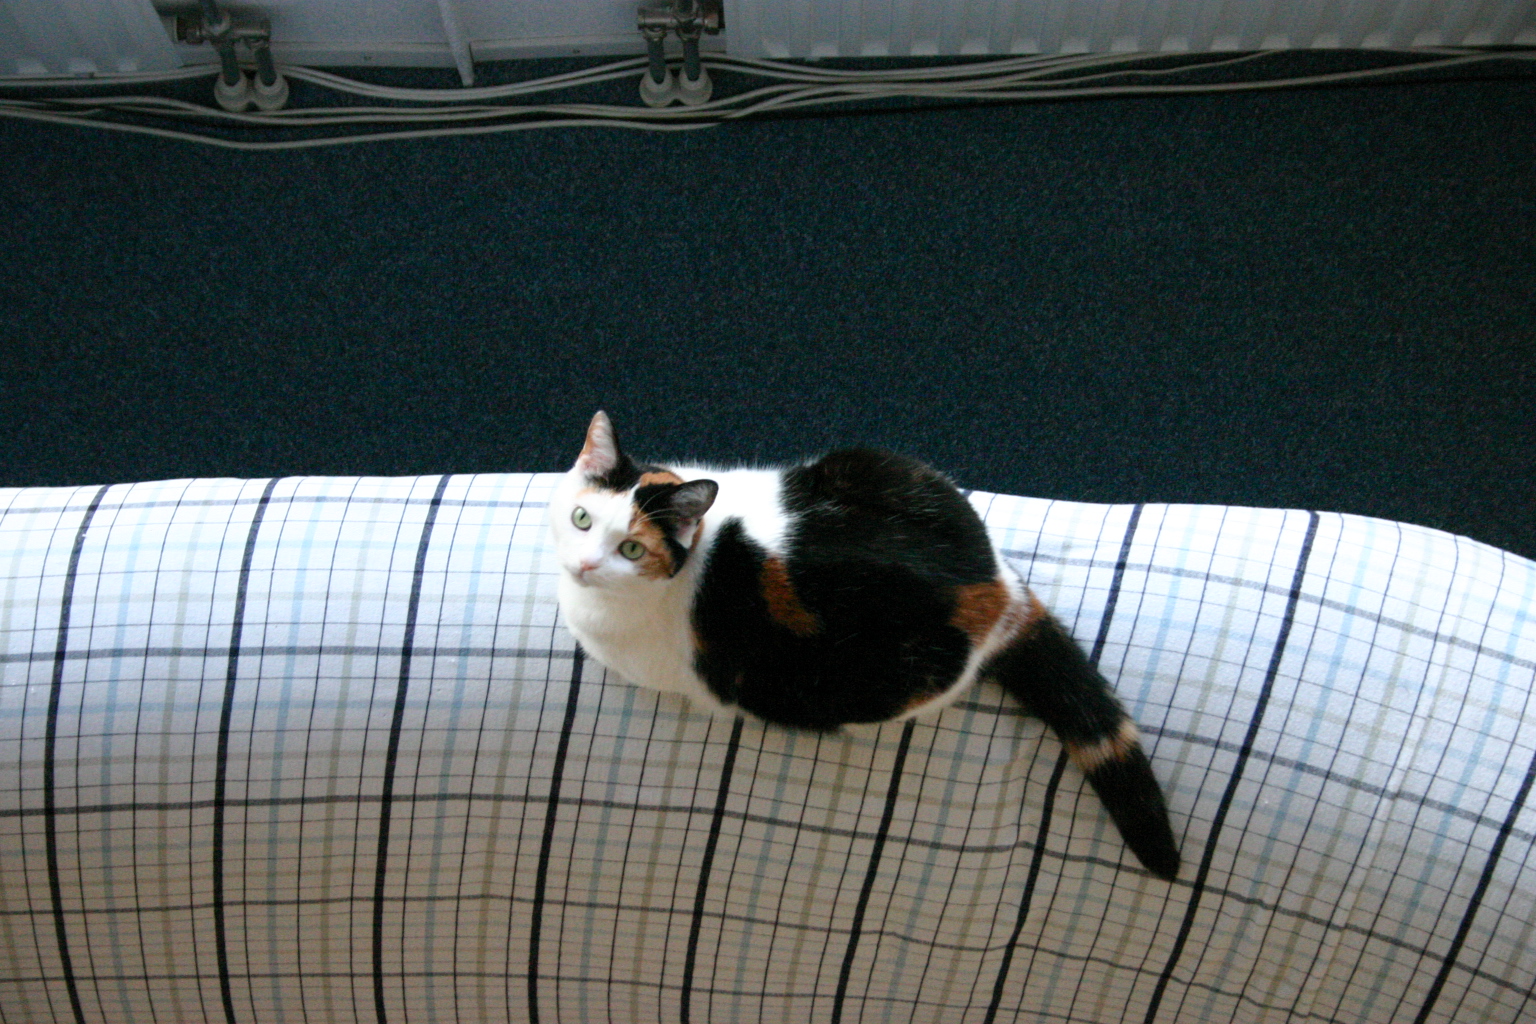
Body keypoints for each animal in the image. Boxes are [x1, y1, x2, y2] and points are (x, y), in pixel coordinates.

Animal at [550, 411, 1180, 880]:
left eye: (632, 549)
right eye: (581, 518)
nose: (582, 565)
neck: (697, 547)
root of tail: (996, 595)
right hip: (881, 464)